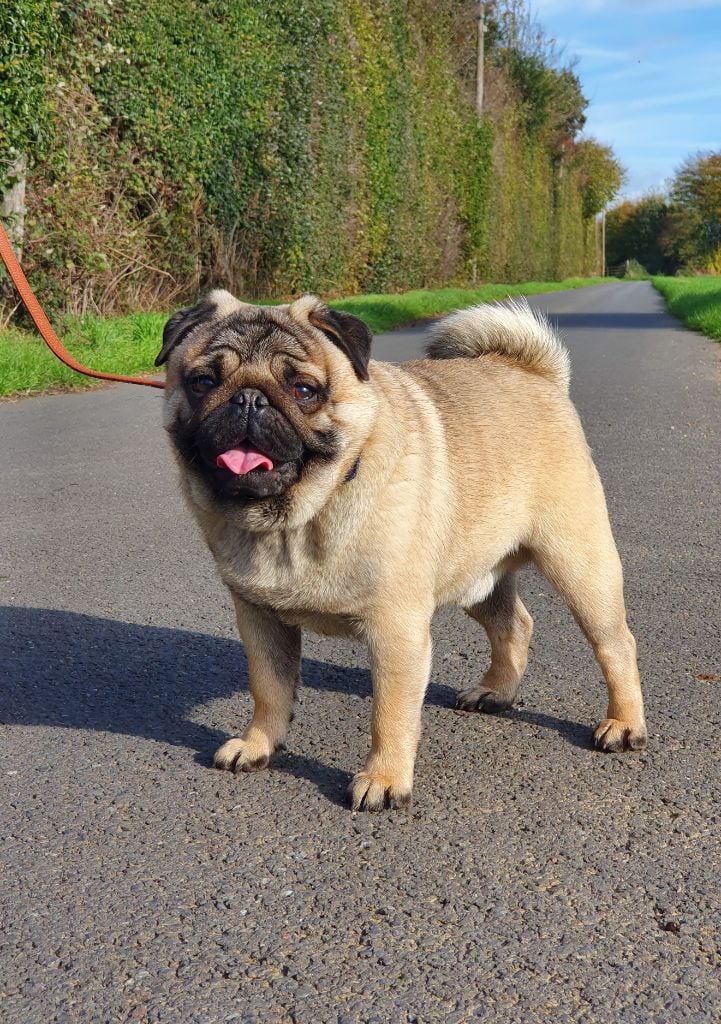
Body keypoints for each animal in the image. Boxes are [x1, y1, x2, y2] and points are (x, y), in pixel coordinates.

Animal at [156, 290, 647, 810]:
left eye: (304, 390)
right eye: (203, 382)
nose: (249, 399)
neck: (297, 520)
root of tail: (535, 375)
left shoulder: (396, 631)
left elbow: (390, 714)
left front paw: (385, 778)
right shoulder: (260, 621)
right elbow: (268, 689)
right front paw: (257, 745)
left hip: (580, 565)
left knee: (616, 645)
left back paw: (623, 725)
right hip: (477, 578)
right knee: (513, 626)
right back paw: (495, 693)